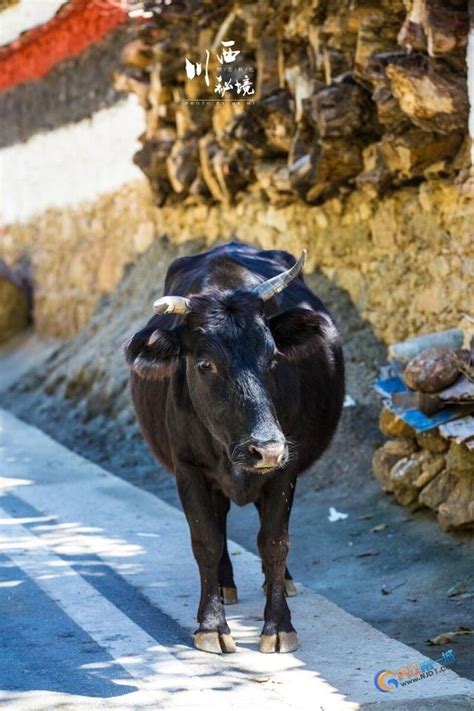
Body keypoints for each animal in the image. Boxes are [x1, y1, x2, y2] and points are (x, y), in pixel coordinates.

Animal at [124, 243, 342, 656]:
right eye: (205, 363)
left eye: (272, 357)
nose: (266, 448)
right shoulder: (188, 468)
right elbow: (206, 540)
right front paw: (212, 626)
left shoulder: (285, 468)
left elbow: (274, 541)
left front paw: (279, 626)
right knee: (219, 521)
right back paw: (225, 584)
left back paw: (278, 581)